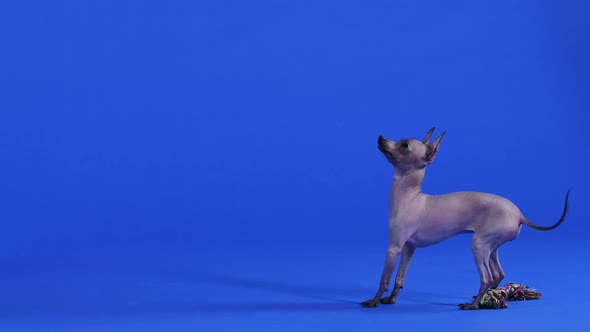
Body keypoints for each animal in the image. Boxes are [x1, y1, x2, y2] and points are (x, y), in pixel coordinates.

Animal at [364, 128, 572, 310]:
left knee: (487, 277)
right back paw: (488, 296)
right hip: (491, 246)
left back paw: (474, 305)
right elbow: (400, 278)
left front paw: (374, 301)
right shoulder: (409, 248)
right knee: (498, 273)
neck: (410, 198)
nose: (381, 137)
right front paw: (391, 299)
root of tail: (519, 214)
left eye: (405, 145)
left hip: (479, 244)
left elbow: (384, 279)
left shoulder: (394, 247)